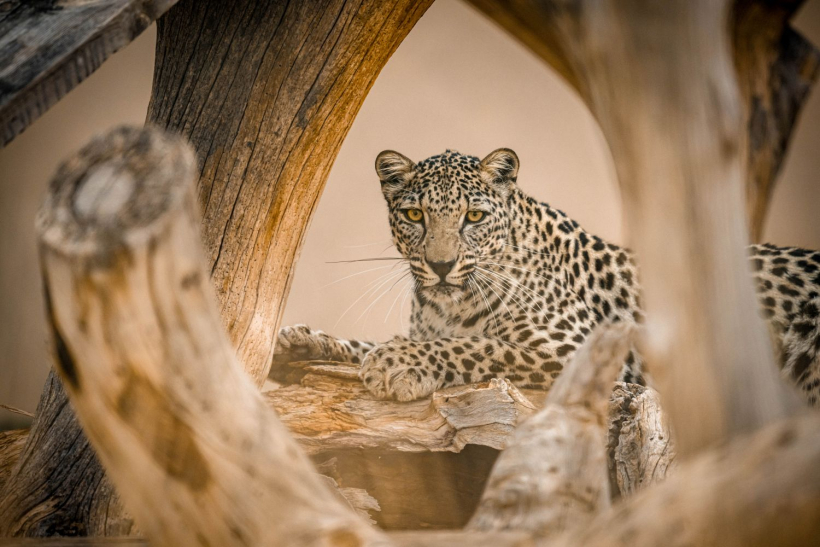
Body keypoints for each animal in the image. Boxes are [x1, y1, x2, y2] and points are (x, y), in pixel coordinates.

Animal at [273, 148, 820, 406]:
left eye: (473, 217)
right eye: (414, 216)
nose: (442, 265)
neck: (449, 302)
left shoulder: (582, 351)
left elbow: (479, 346)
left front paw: (399, 364)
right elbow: (370, 341)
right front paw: (300, 342)